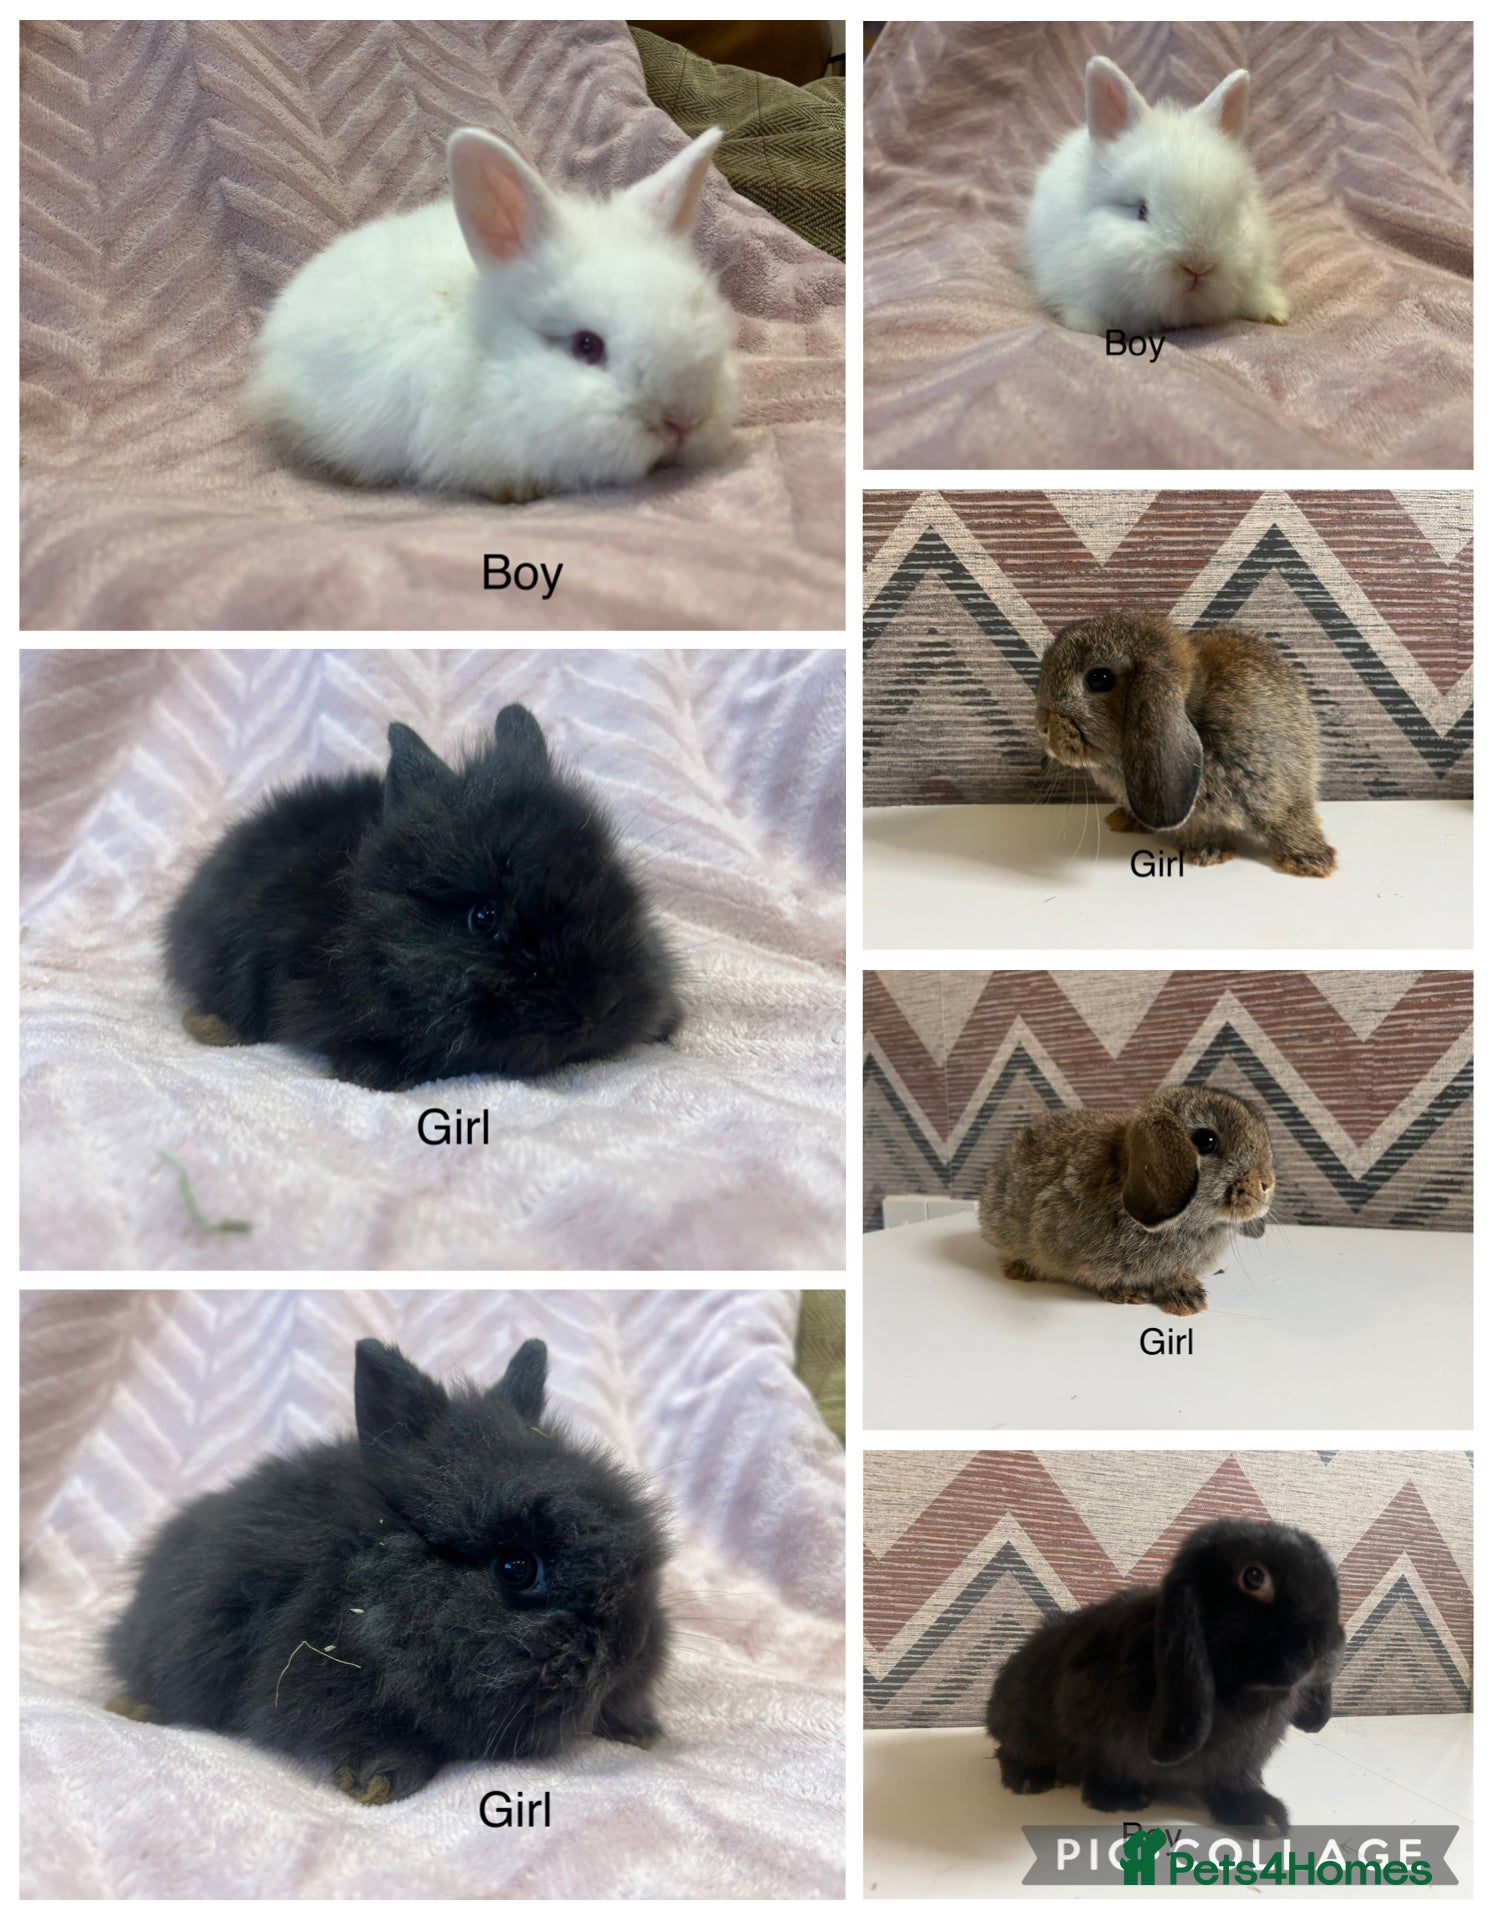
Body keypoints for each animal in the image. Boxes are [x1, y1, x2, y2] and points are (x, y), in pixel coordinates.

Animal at [987, 1517, 1344, 1832]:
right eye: (1254, 1577)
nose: (1325, 1645)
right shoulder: (1086, 1721)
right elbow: (1101, 1764)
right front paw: (1119, 1798)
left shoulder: (1238, 1762)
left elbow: (1234, 1783)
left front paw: (1263, 1817)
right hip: (1022, 1723)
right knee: (1009, 1749)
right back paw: (1029, 1778)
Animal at [1036, 611, 1337, 877]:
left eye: (1099, 678)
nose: (1043, 728)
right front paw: (1206, 851)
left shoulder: (1278, 790)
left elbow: (1291, 821)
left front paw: (1312, 860)